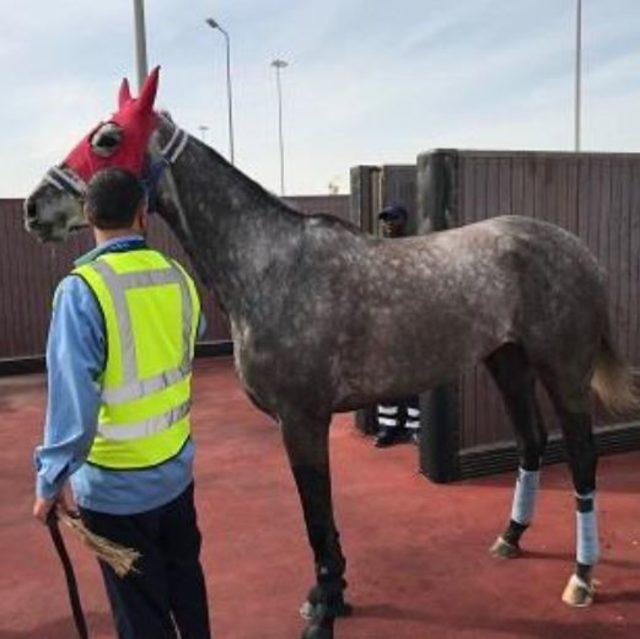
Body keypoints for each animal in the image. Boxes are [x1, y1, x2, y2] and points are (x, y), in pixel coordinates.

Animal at [22, 74, 636, 639]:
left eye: (107, 138)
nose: (33, 209)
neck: (271, 266)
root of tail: (577, 250)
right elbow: (321, 515)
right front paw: (332, 595)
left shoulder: (302, 419)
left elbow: (315, 515)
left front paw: (323, 608)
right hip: (507, 363)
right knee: (531, 444)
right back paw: (510, 538)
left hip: (564, 372)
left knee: (582, 459)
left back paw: (582, 577)